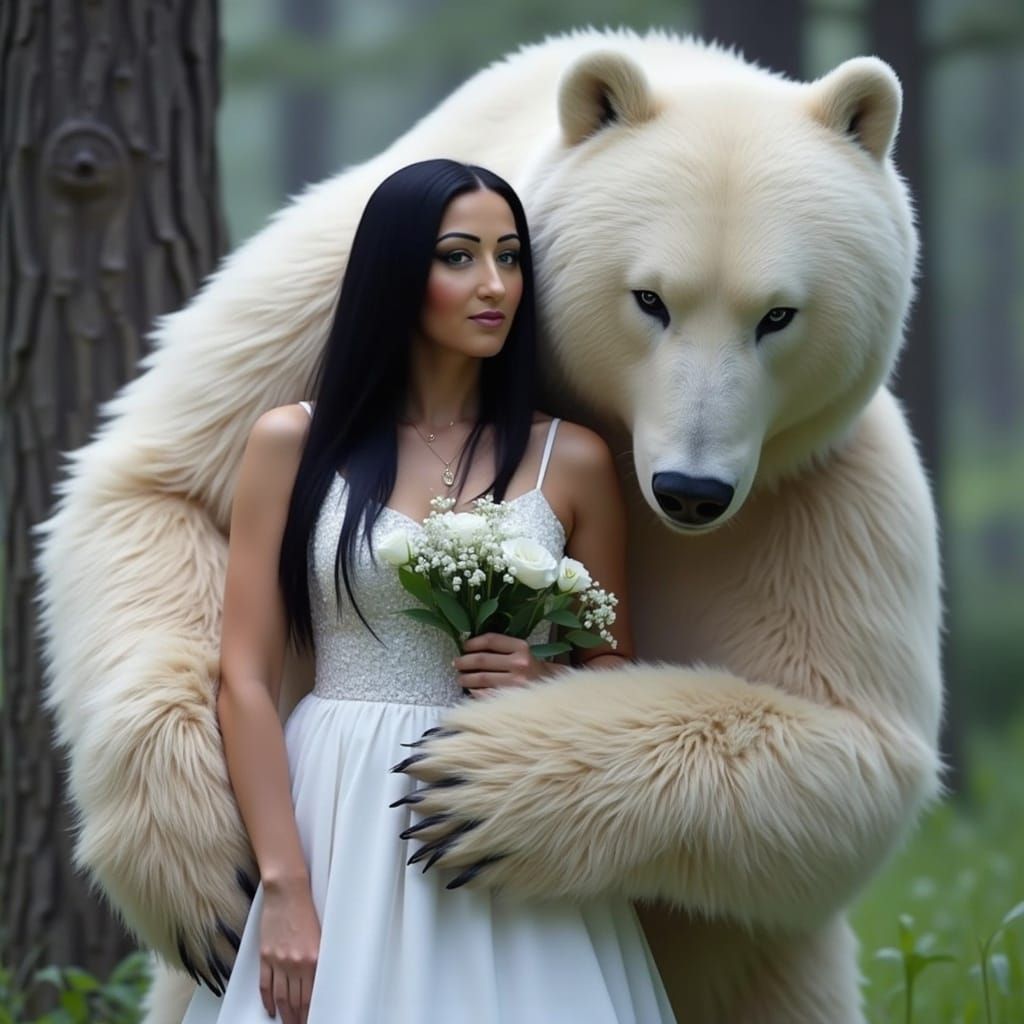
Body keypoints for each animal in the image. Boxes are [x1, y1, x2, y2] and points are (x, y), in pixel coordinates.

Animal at [35, 28, 942, 1024]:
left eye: (778, 315)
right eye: (650, 299)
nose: (690, 489)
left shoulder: (818, 486)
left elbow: (848, 749)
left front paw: (478, 781)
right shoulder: (321, 308)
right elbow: (160, 490)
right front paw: (205, 874)